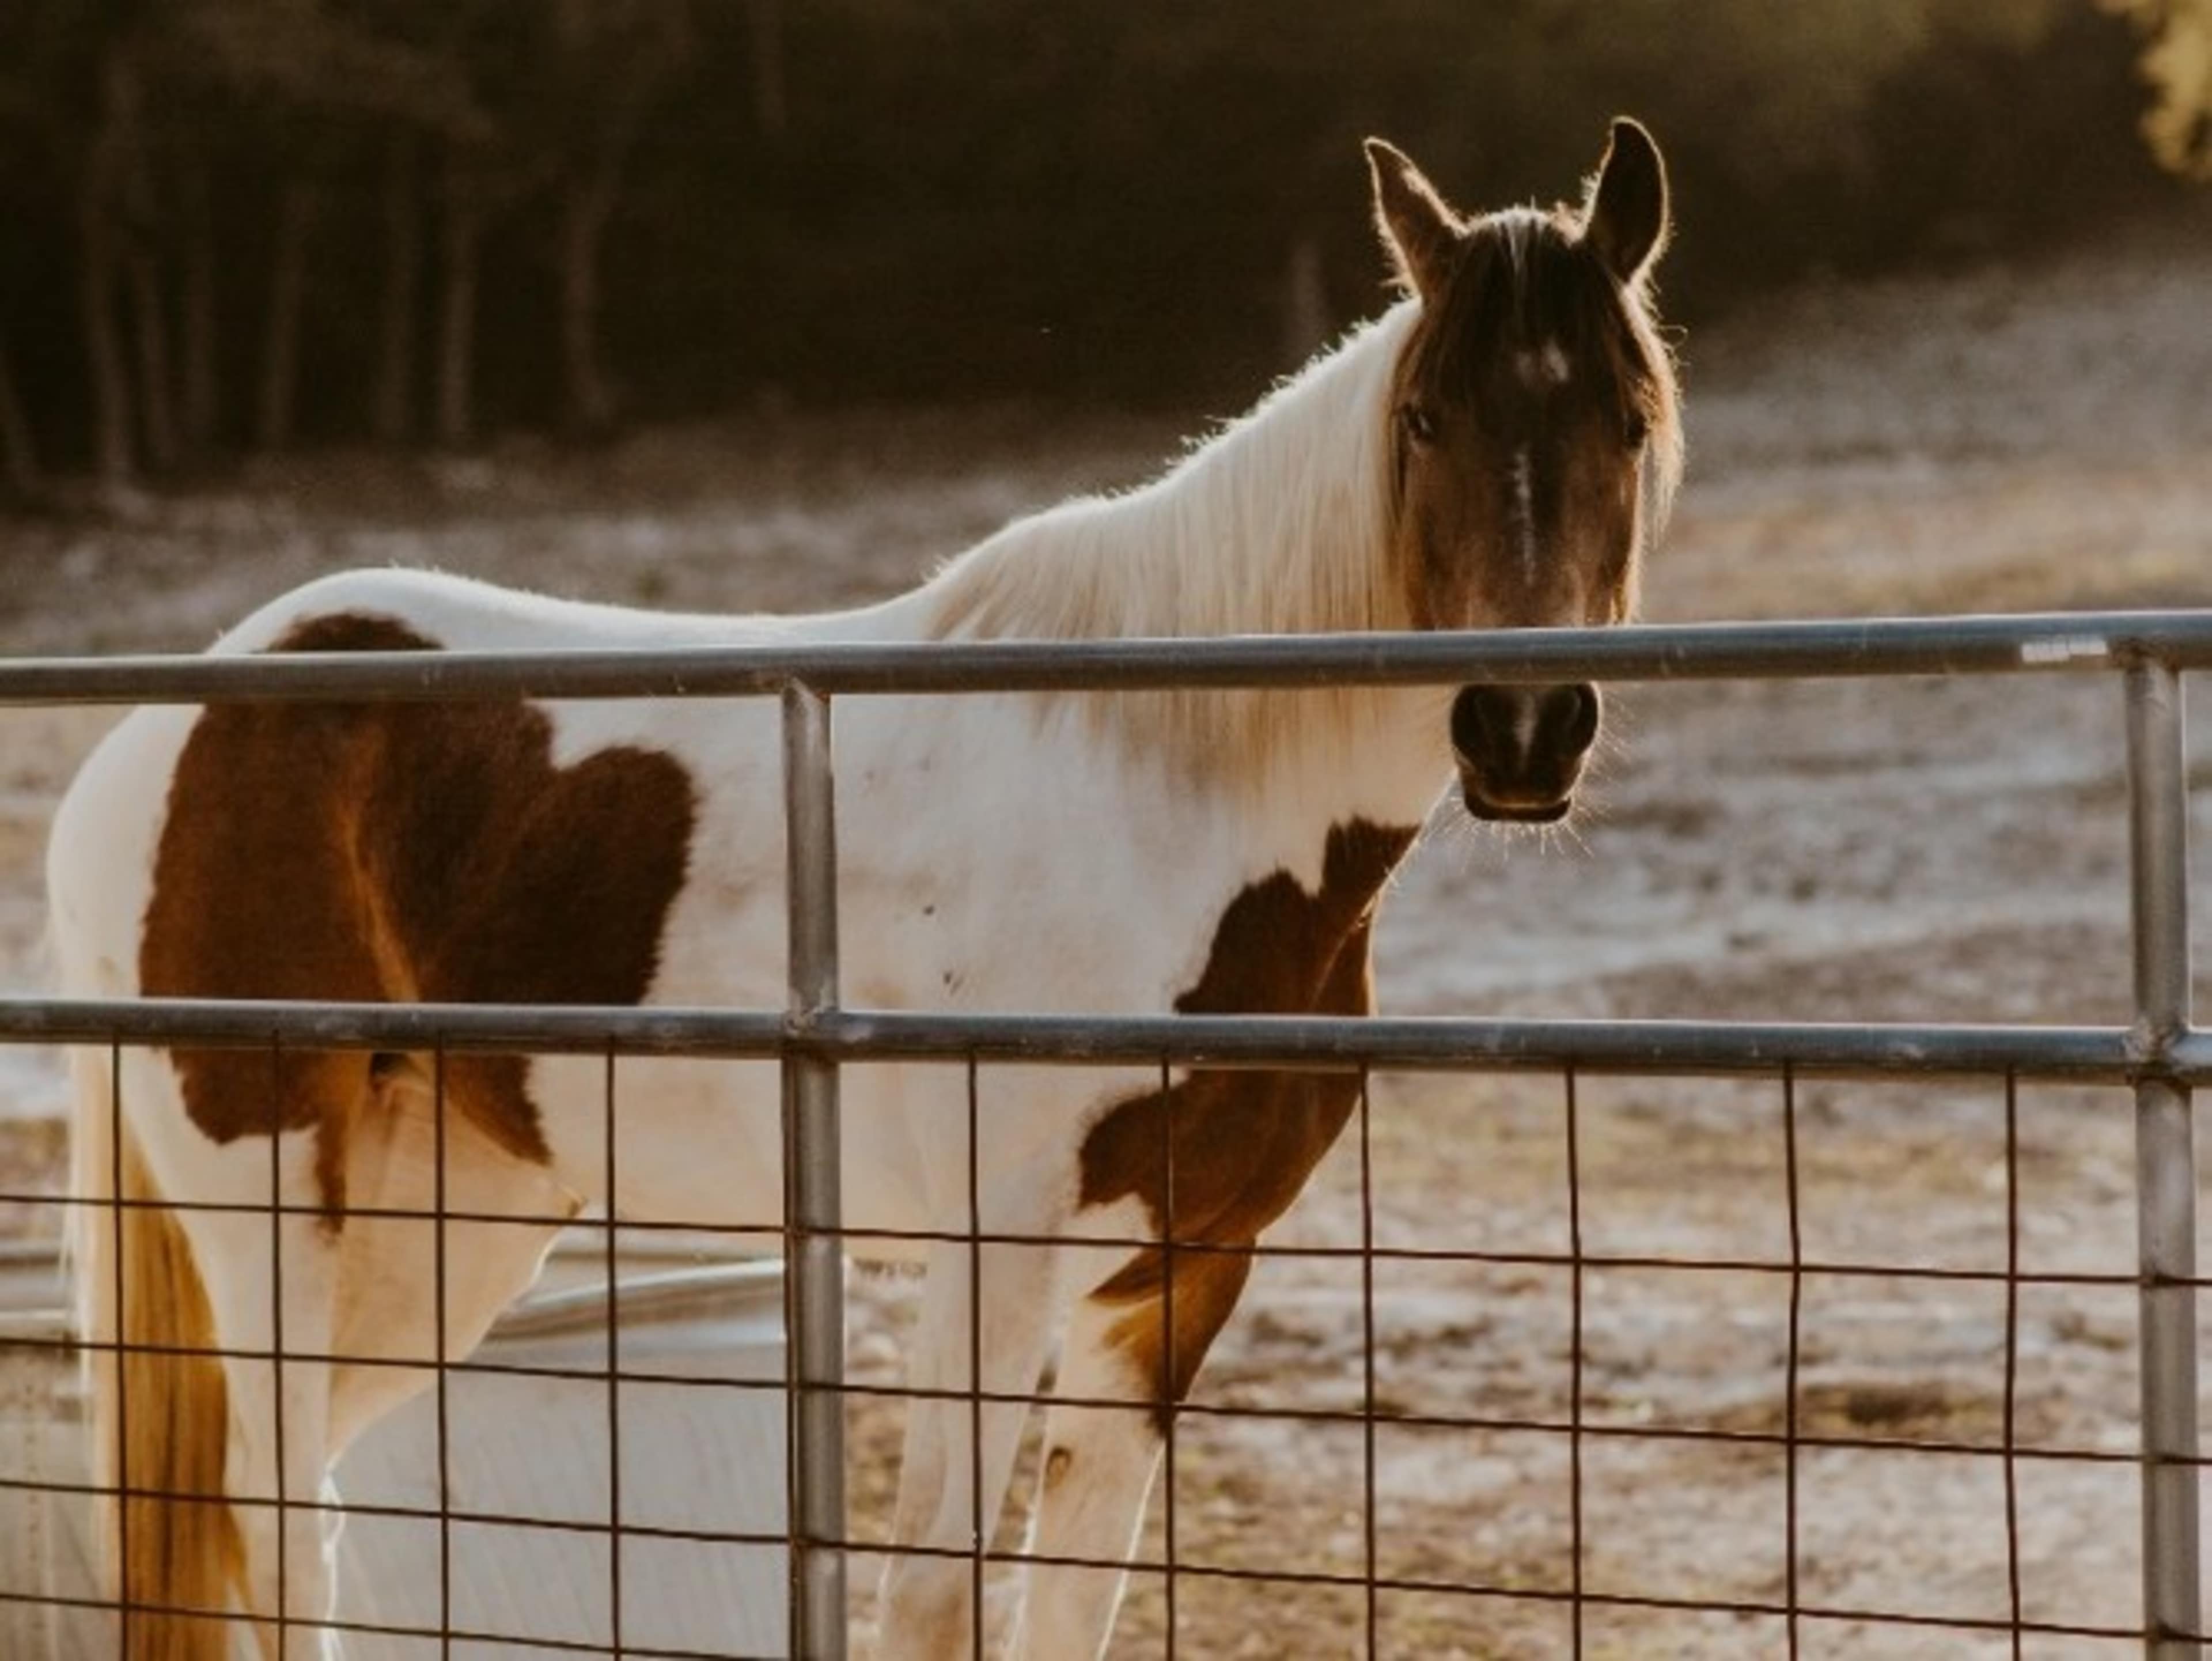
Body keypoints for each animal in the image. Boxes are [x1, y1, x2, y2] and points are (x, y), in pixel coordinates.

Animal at [47, 120, 1680, 1659]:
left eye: (1627, 417)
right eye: (1423, 419)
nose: (1521, 730)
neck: (1166, 786)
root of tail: (190, 708)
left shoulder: (1180, 1271)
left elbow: (1070, 1601)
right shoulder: (994, 1260)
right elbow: (935, 1597)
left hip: (442, 1208)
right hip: (265, 1187)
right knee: (276, 1526)